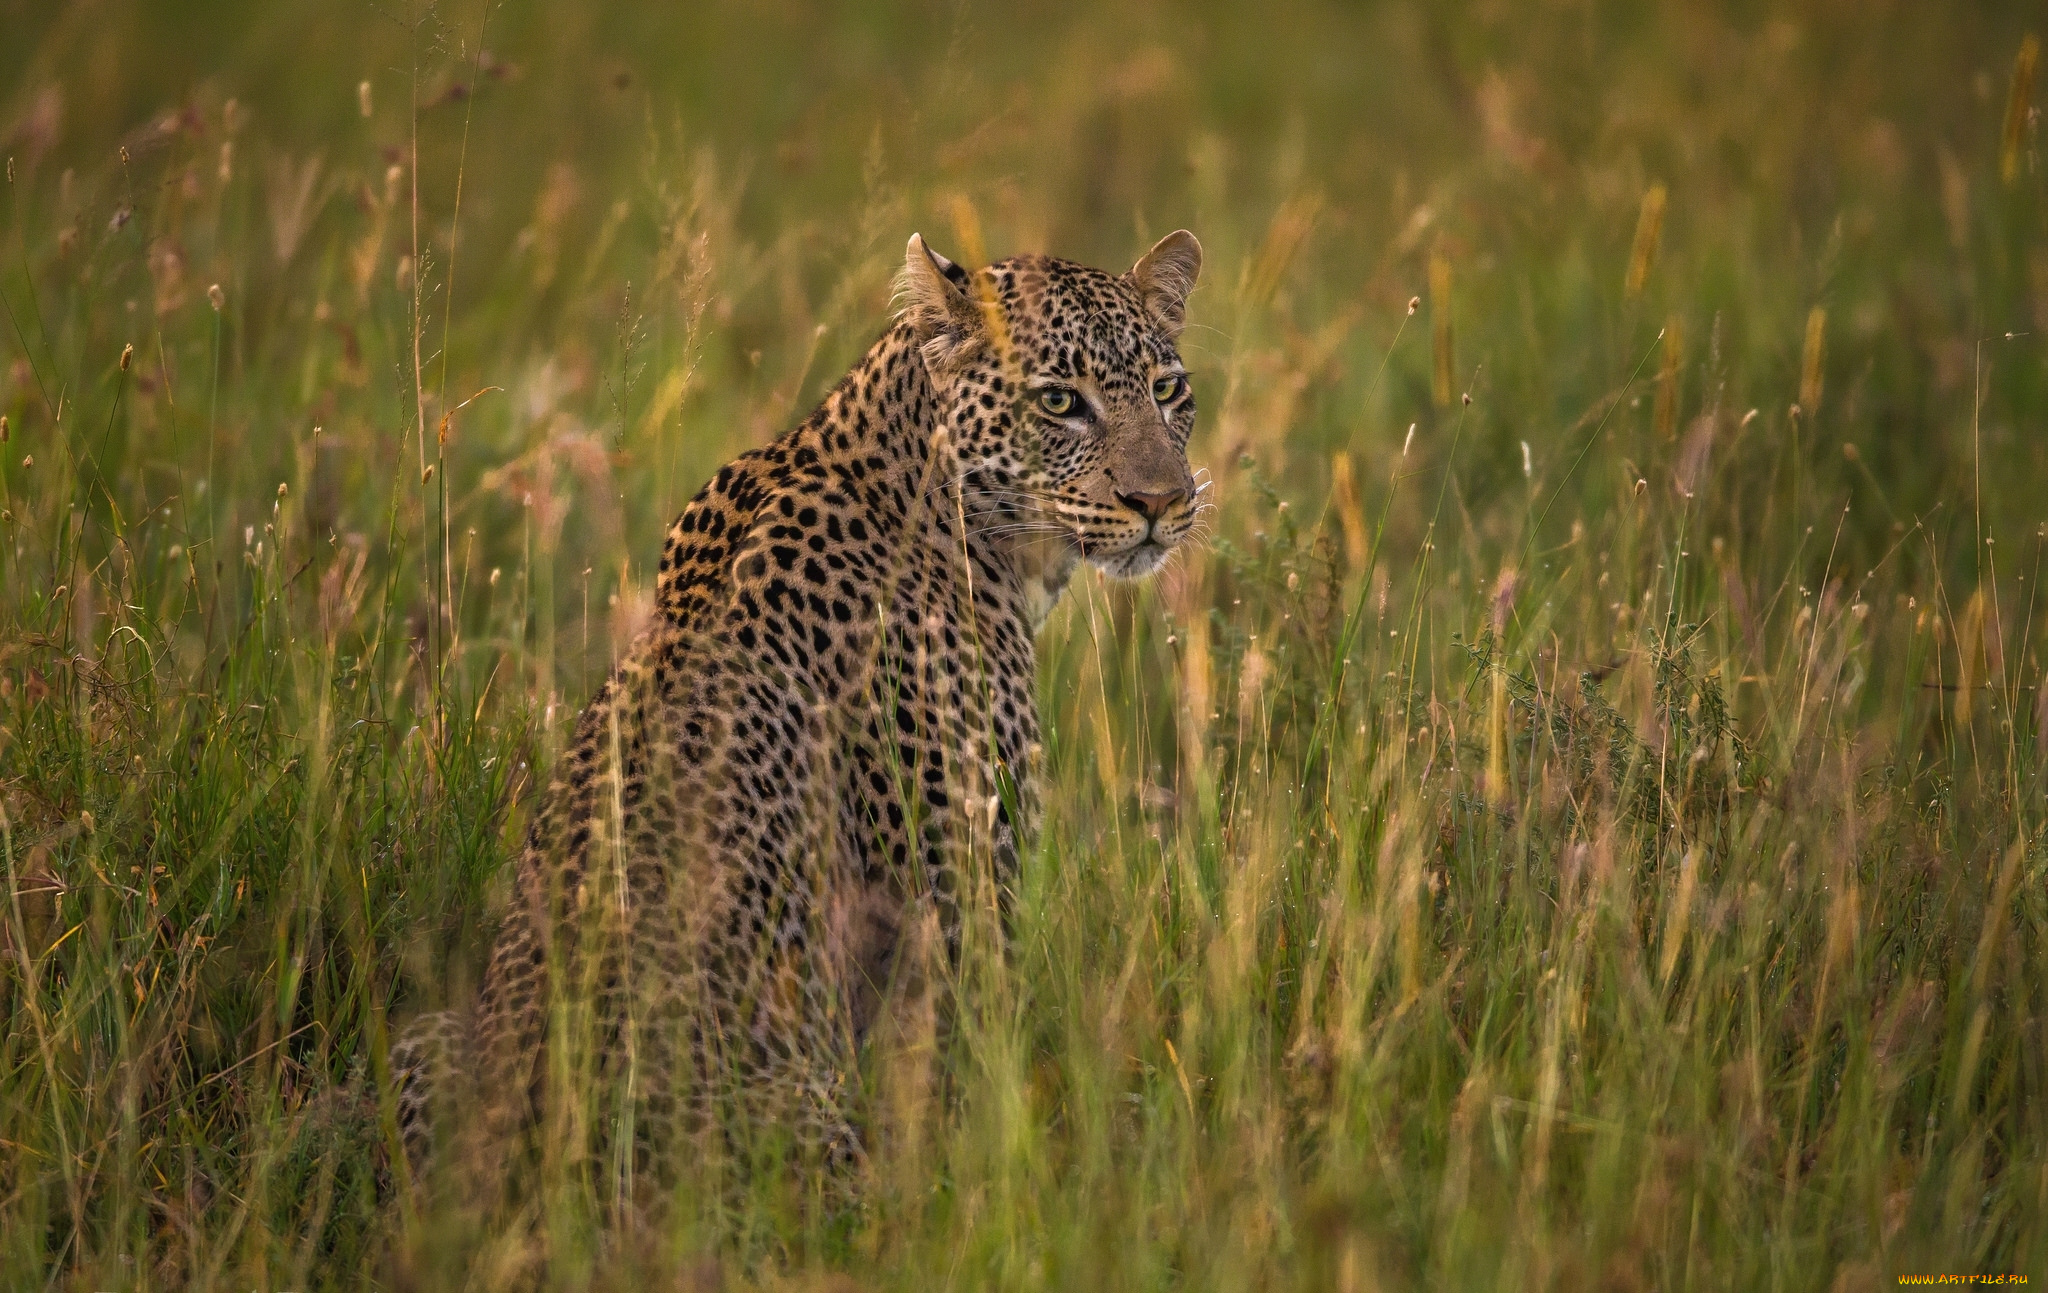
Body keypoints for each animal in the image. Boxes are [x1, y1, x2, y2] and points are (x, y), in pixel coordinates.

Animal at [391, 222, 1204, 1196]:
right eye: (1059, 401)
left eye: (1168, 389)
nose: (1163, 501)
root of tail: (558, 1175)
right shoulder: (962, 909)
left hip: (426, 1040)